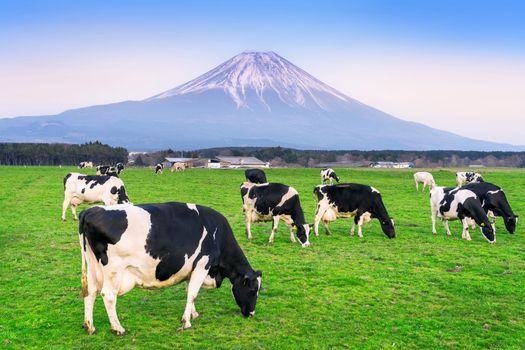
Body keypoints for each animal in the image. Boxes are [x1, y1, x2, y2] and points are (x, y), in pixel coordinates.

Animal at [79, 204, 260, 334]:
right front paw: (186, 322)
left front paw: (193, 314)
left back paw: (90, 326)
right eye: (252, 291)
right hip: (113, 270)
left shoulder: (191, 269)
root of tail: (90, 210)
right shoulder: (202, 265)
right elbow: (193, 293)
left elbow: (189, 291)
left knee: (90, 292)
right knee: (108, 295)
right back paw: (118, 328)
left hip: (92, 265)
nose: (251, 313)